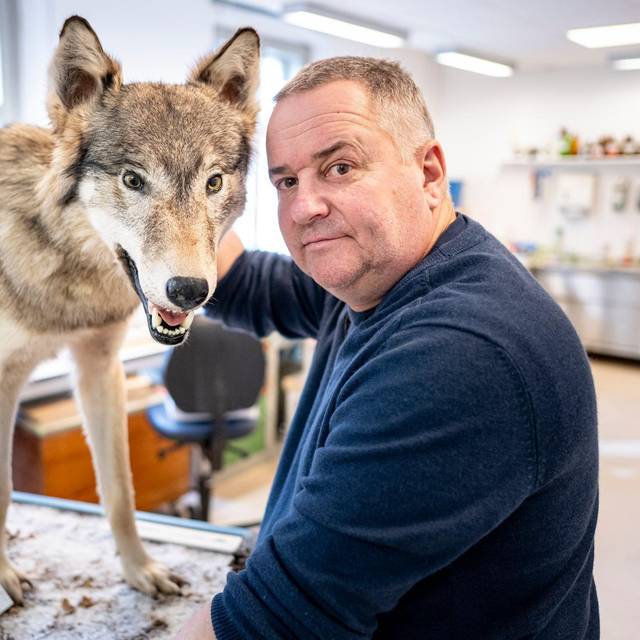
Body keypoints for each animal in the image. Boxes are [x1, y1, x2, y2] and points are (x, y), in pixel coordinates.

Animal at [0, 16, 259, 603]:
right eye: (133, 180)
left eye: (214, 182)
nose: (189, 291)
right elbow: (3, 487)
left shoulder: (100, 367)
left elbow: (120, 489)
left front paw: (141, 570)